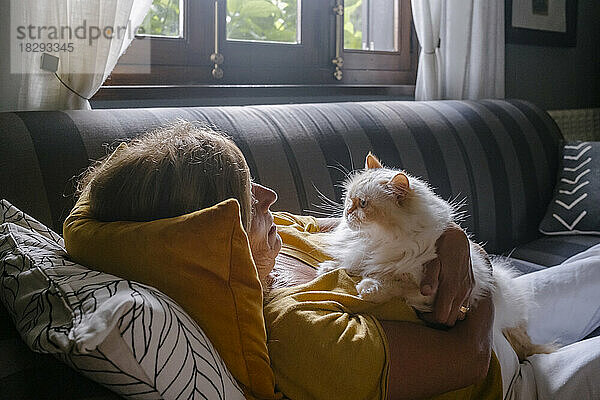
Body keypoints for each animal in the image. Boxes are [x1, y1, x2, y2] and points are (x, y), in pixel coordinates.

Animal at [318, 152, 552, 360]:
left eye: (363, 203)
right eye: (348, 198)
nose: (347, 211)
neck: (378, 239)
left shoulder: (425, 291)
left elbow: (392, 283)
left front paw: (369, 288)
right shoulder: (361, 252)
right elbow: (352, 263)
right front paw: (329, 268)